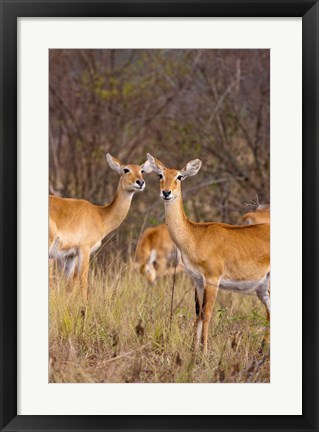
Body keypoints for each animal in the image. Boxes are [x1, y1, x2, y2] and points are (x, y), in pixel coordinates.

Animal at [49, 154, 153, 302]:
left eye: (141, 170)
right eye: (126, 169)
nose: (140, 182)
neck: (100, 215)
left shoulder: (70, 256)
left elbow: (70, 287)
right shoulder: (84, 249)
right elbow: (83, 282)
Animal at [147, 154, 270, 354]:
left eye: (179, 176)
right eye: (160, 175)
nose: (166, 193)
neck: (195, 236)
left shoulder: (213, 279)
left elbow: (207, 313)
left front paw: (204, 352)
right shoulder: (197, 280)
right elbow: (198, 313)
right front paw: (194, 351)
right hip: (261, 287)